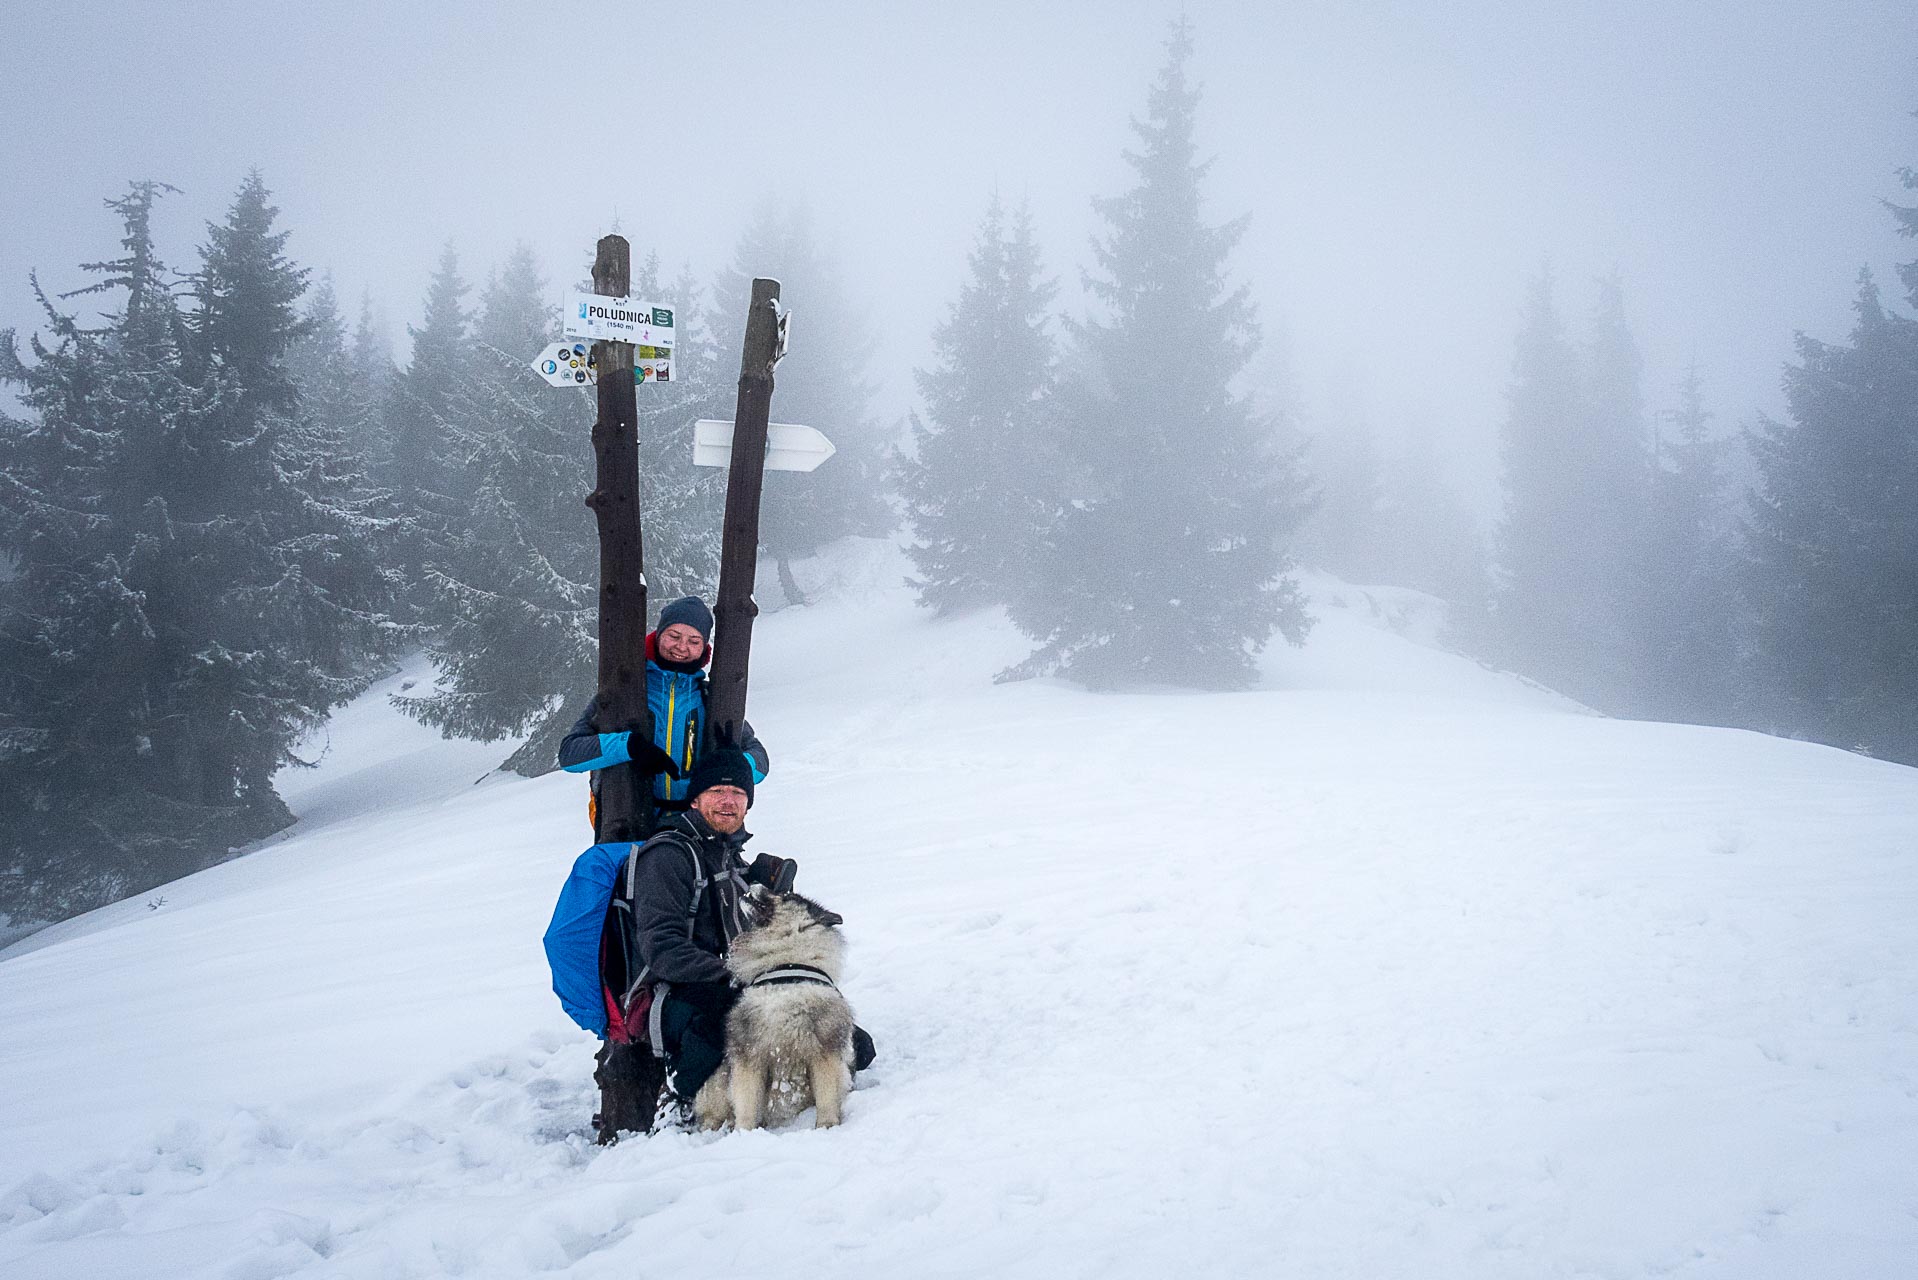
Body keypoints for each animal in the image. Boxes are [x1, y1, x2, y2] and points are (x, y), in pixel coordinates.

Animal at [694, 890, 851, 1128]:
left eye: (786, 895)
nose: (754, 885)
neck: (786, 967)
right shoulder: (748, 1055)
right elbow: (746, 1104)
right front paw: (744, 1132)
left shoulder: (824, 1048)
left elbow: (827, 1095)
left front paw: (826, 1126)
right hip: (719, 1079)